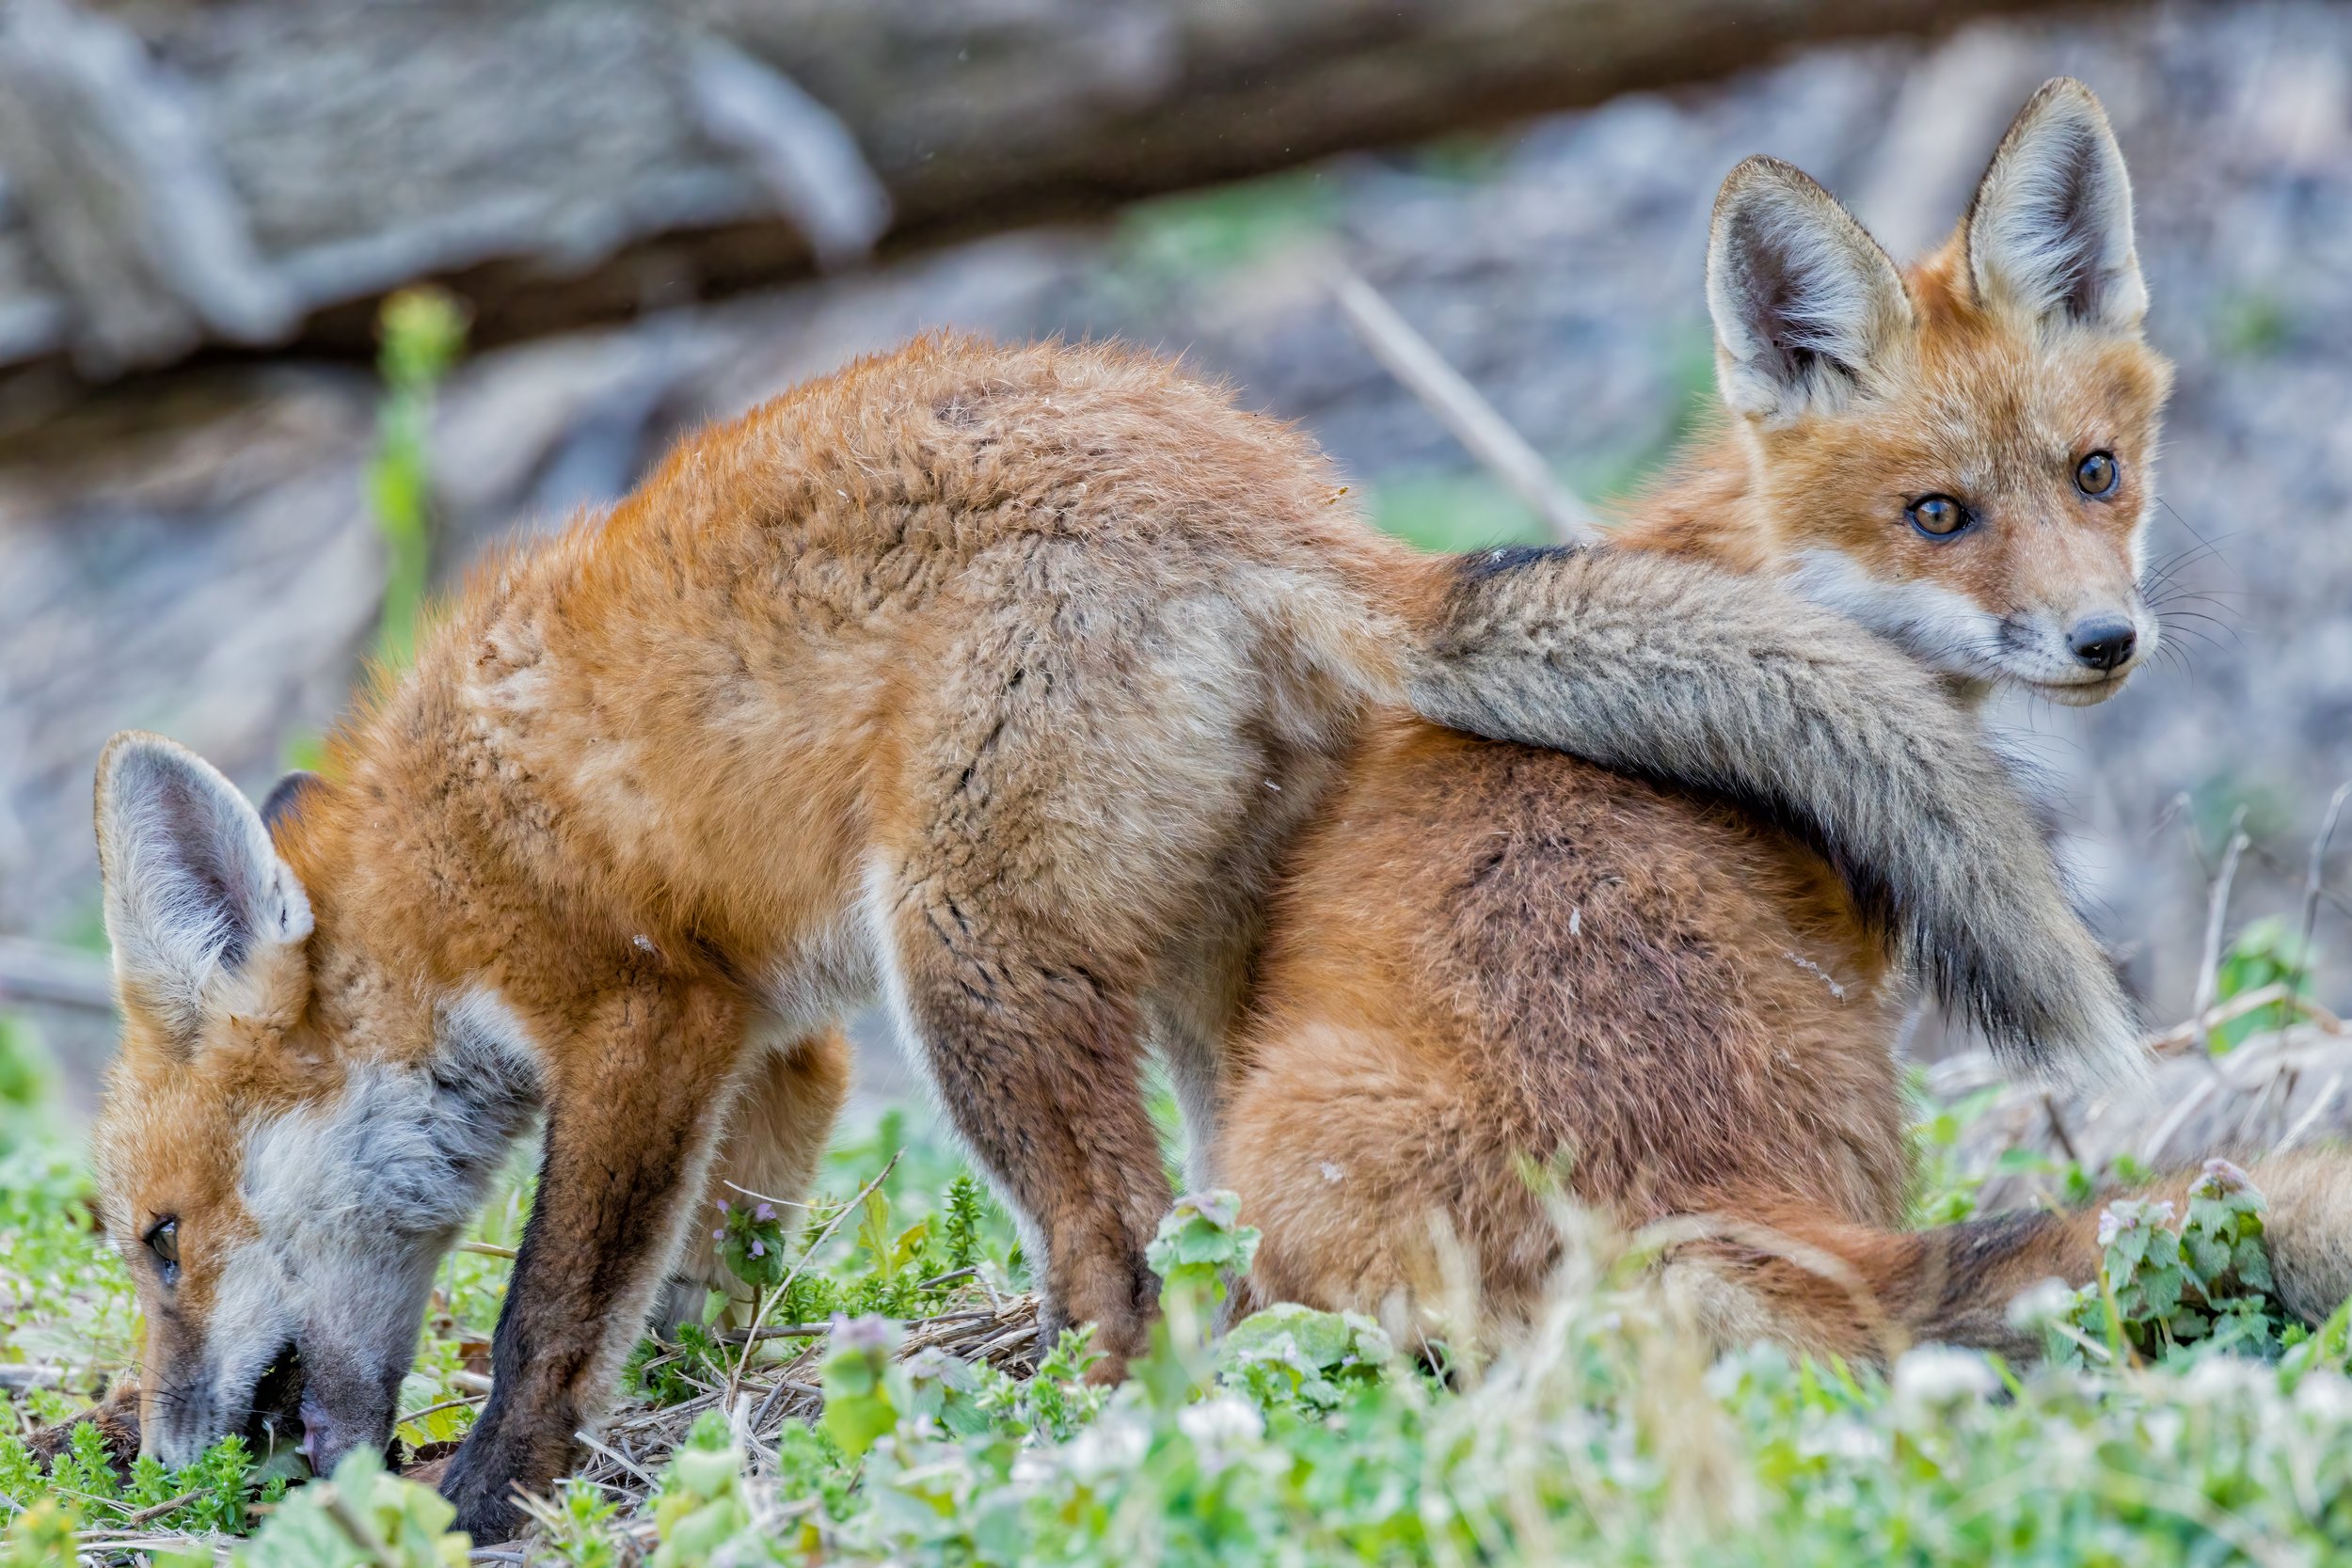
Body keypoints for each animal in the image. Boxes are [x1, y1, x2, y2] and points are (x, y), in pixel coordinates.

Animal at [91, 135, 2136, 1542]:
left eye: (159, 1238)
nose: (176, 1452)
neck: (438, 870)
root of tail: (1276, 498)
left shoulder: (643, 1009)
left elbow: (542, 1311)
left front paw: (487, 1493)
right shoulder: (782, 1036)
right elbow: (701, 1277)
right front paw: (678, 1404)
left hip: (969, 958)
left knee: (1122, 1250)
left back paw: (1088, 1439)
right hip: (1195, 969)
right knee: (1215, 1224)